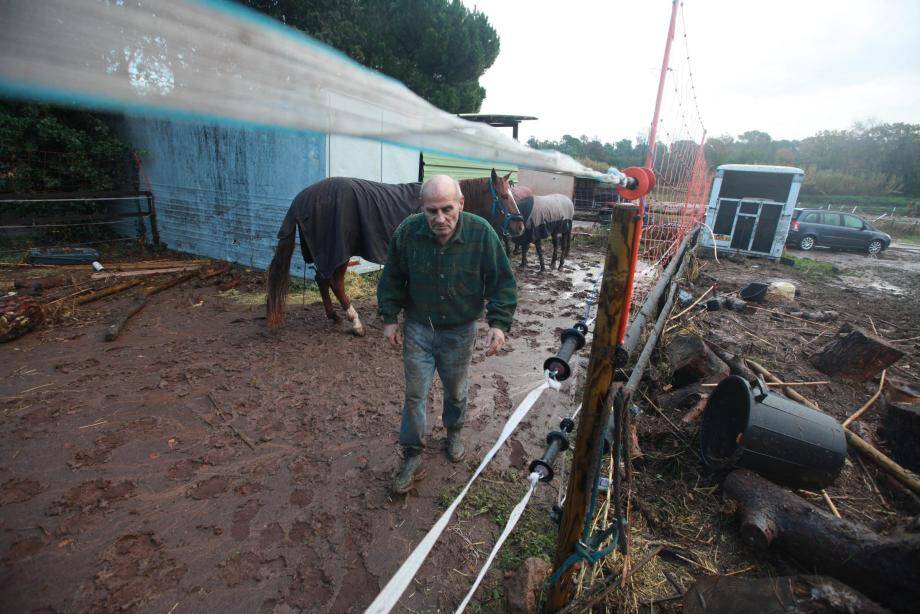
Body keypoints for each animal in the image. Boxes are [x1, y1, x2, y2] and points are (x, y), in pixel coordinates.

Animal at [268, 170, 524, 336]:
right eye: (504, 197)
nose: (520, 226)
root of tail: (304, 196)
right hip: (339, 250)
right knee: (334, 281)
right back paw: (355, 323)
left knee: (322, 279)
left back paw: (334, 316)